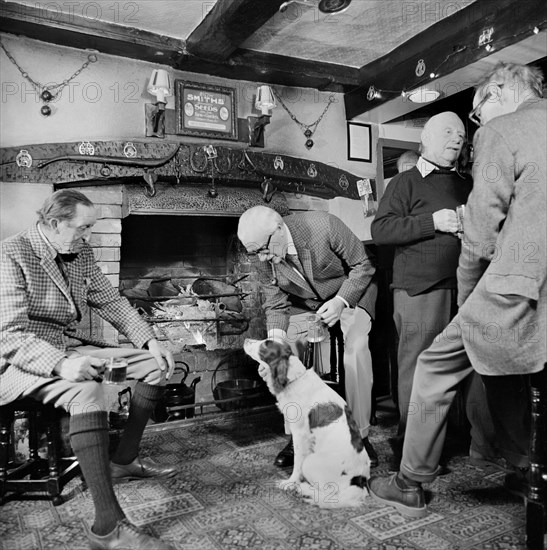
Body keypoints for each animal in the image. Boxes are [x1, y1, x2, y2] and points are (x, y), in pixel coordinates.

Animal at [245, 338, 370, 512]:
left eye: (266, 344)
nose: (246, 339)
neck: (294, 378)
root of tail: (359, 481)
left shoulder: (300, 433)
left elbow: (297, 462)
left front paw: (290, 482)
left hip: (310, 463)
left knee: (326, 492)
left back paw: (302, 488)